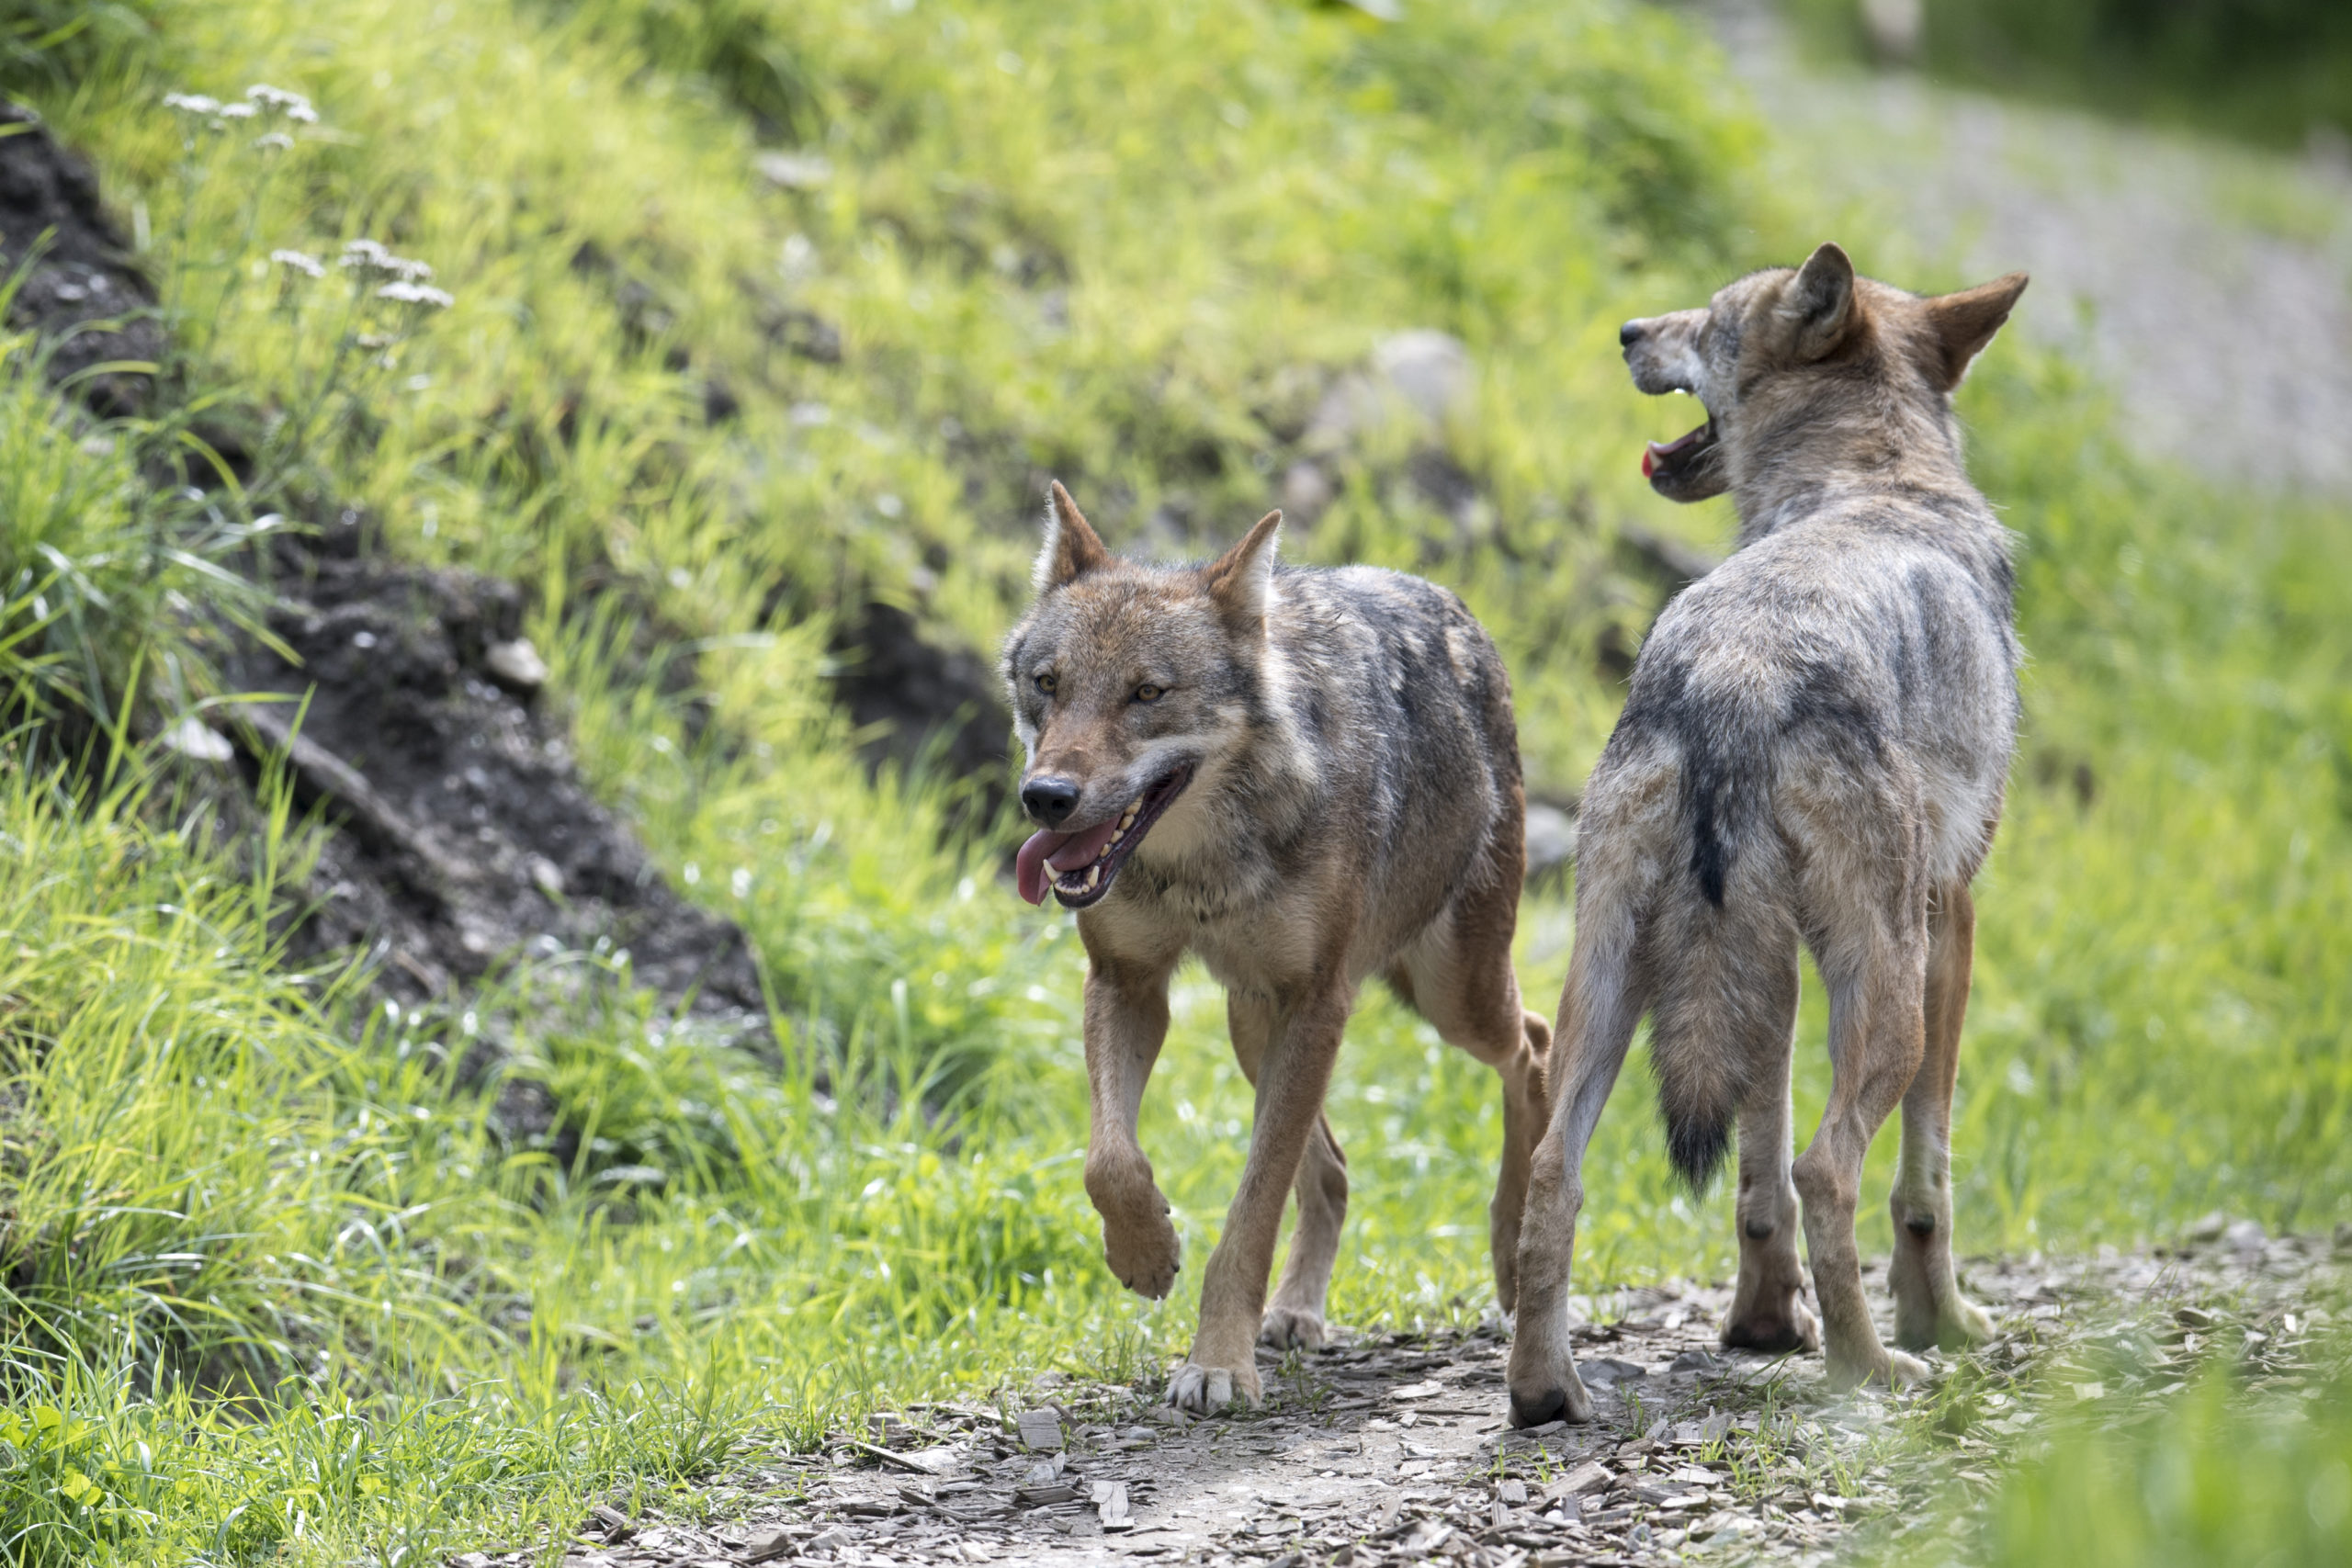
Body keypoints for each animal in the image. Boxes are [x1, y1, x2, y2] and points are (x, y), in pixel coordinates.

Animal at [1001, 484, 1552, 1419]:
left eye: (1147, 692)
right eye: (1049, 684)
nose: (1046, 796)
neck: (1201, 867)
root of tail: (1450, 602)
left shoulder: (1319, 998)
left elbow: (1249, 1215)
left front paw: (1219, 1363)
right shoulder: (1126, 981)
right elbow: (1110, 1159)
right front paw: (1144, 1252)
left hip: (1449, 996)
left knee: (1537, 1044)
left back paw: (1514, 1251)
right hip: (1254, 1024)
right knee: (1332, 1168)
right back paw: (1296, 1313)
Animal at [1505, 242, 2041, 1419]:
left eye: (1704, 322)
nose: (1624, 329)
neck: (1869, 478)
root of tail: (1730, 678)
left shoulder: (1778, 958)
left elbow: (1754, 1172)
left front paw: (1760, 1323)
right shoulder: (1952, 922)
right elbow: (1924, 1178)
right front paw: (1944, 1324)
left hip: (1609, 983)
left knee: (1554, 1173)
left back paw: (1546, 1392)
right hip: (1887, 992)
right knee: (1829, 1167)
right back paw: (1870, 1368)